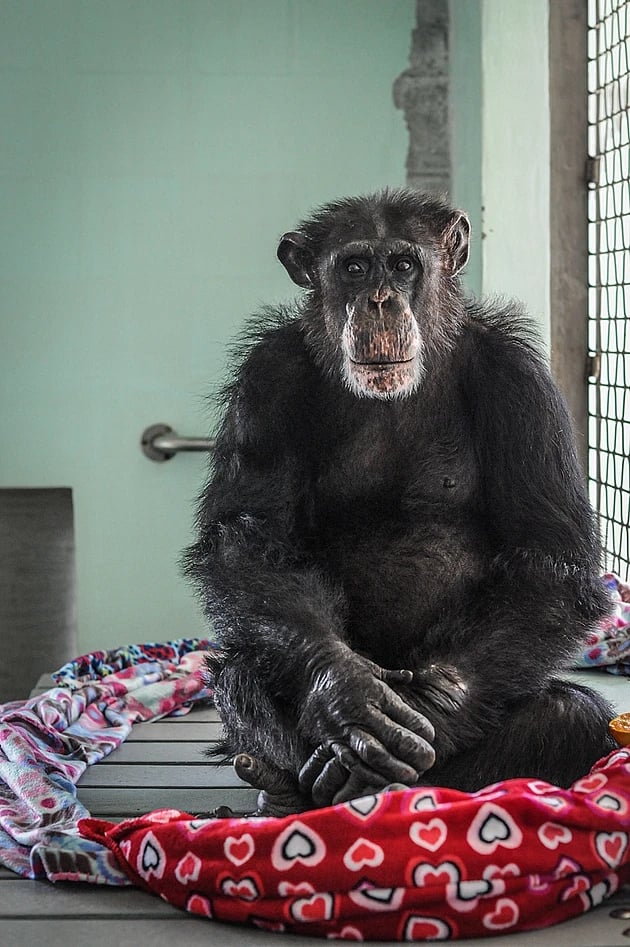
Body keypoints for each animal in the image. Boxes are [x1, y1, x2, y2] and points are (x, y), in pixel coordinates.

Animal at [184, 191, 616, 816]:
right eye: (355, 267)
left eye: (404, 265)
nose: (380, 300)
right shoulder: (266, 378)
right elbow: (251, 538)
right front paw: (344, 693)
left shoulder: (521, 381)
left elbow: (549, 558)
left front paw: (436, 705)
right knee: (241, 674)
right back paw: (290, 788)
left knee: (568, 716)